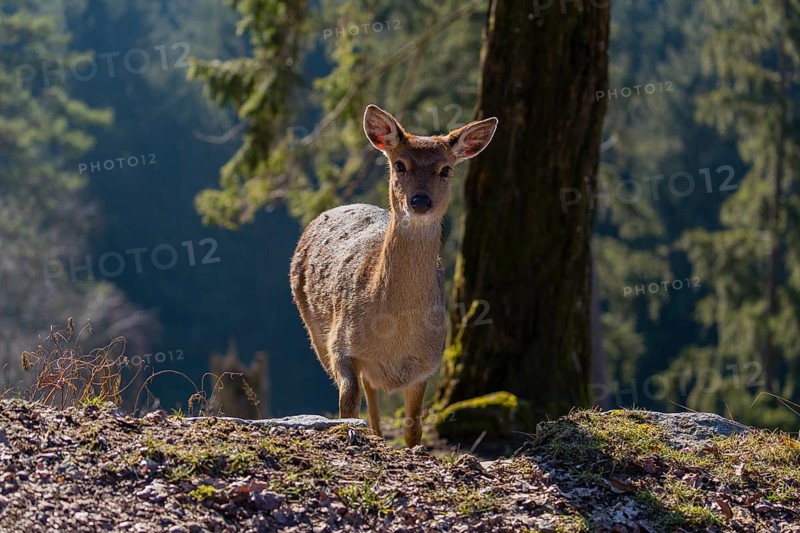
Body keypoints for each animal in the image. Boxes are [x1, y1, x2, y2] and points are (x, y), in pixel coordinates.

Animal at [290, 104, 498, 447]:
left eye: (446, 169)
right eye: (400, 164)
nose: (420, 201)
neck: (392, 330)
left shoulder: (427, 362)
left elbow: (413, 429)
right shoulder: (340, 345)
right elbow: (349, 403)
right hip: (314, 330)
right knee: (366, 390)